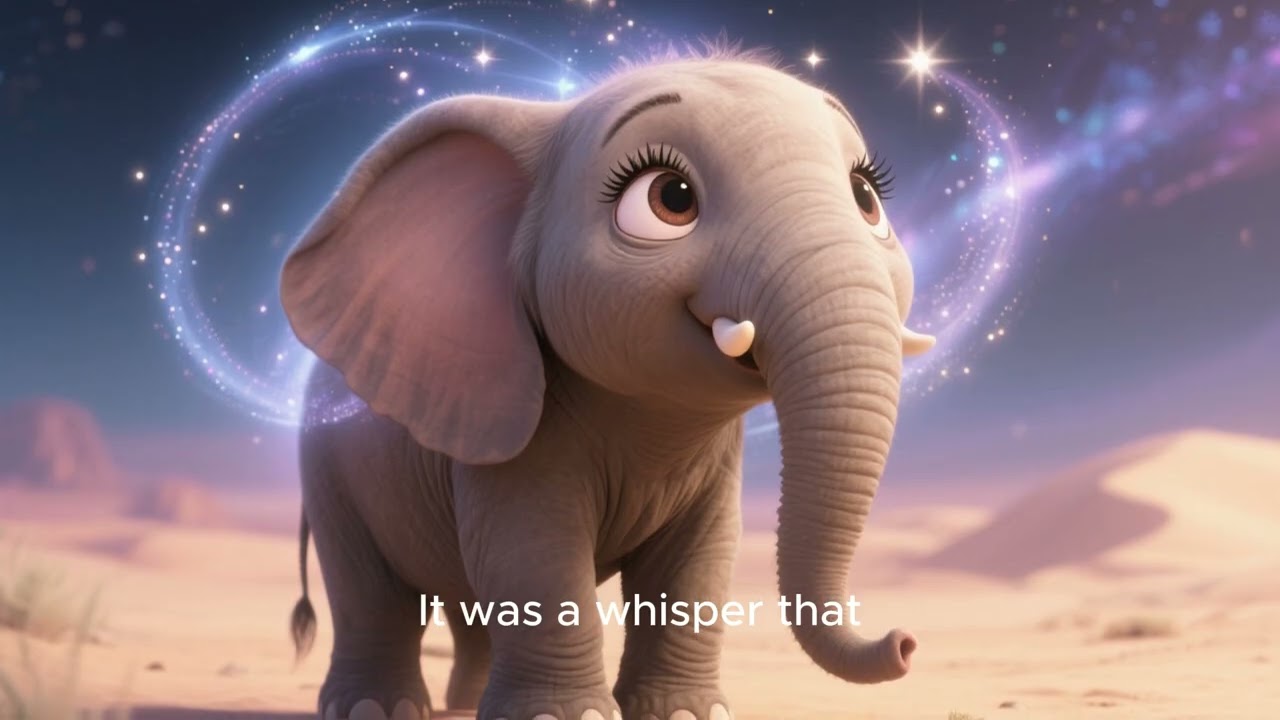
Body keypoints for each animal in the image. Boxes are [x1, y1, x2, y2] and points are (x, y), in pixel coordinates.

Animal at [281, 48, 936, 720]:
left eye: (865, 195)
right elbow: (533, 554)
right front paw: (565, 718)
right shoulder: (517, 435)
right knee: (370, 590)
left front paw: (686, 714)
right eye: (670, 197)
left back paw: (462, 705)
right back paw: (375, 708)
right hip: (327, 470)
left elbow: (700, 562)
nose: (904, 642)